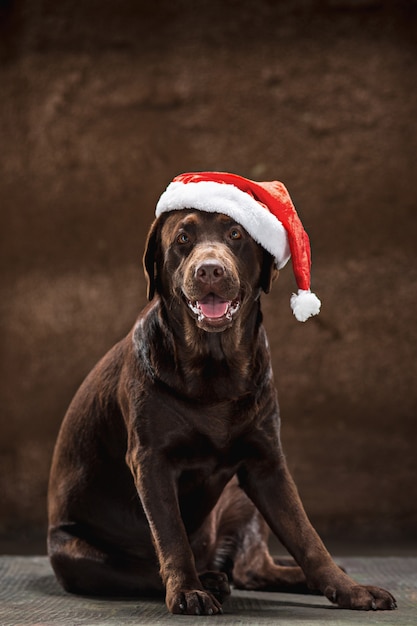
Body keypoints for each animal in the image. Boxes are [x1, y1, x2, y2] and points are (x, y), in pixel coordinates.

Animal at [47, 202, 394, 612]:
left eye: (236, 234)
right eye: (183, 238)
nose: (210, 269)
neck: (216, 369)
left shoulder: (266, 463)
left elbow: (307, 536)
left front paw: (350, 589)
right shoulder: (150, 461)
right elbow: (171, 536)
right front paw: (187, 591)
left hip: (240, 497)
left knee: (252, 569)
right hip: (74, 550)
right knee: (143, 569)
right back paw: (209, 579)